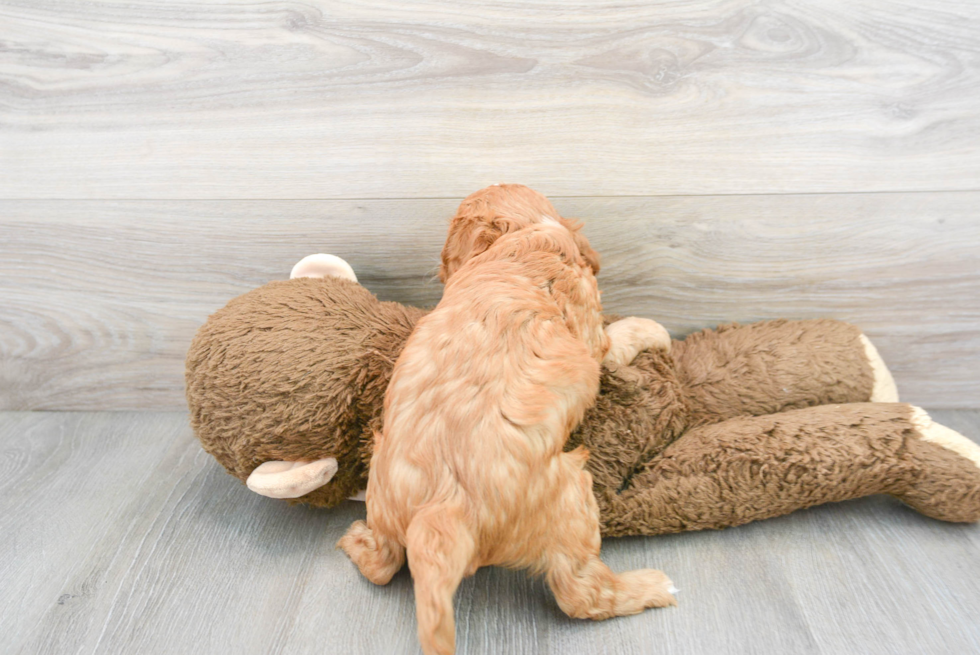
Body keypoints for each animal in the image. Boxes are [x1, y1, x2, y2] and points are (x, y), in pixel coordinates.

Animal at [338, 193, 672, 655]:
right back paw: (652, 586)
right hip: (572, 495)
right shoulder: (593, 336)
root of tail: (439, 511)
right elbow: (616, 339)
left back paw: (356, 540)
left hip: (382, 486)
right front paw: (653, 329)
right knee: (581, 594)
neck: (525, 237)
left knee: (383, 565)